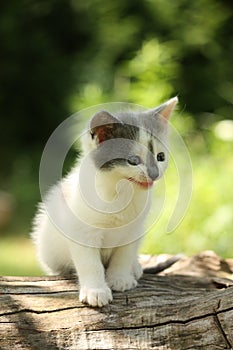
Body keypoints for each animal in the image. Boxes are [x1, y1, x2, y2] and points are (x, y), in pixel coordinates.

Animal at [30, 96, 177, 306]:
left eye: (161, 157)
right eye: (133, 160)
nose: (154, 174)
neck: (121, 191)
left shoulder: (134, 230)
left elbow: (123, 255)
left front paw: (120, 278)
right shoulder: (81, 230)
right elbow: (90, 263)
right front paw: (96, 290)